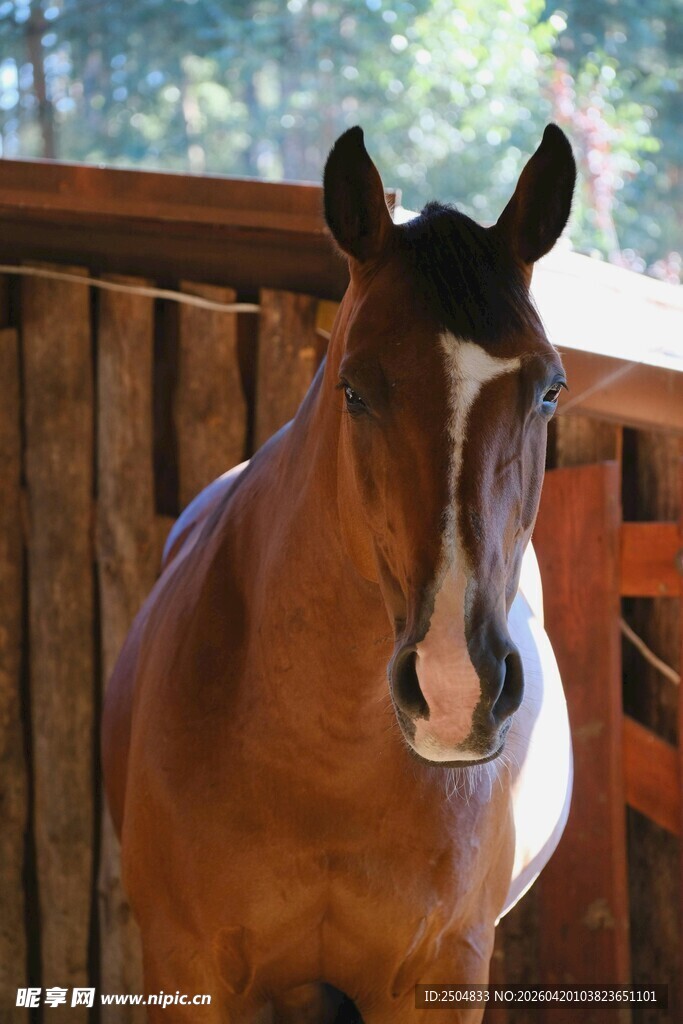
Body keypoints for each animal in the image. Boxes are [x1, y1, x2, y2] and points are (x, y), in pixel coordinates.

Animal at [102, 124, 576, 1023]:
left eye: (548, 393)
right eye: (354, 389)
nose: (455, 687)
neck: (323, 766)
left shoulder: (440, 975)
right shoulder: (188, 969)